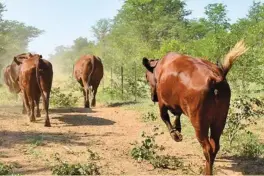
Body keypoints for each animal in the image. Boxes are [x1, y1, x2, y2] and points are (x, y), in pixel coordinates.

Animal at [142, 40, 248, 175]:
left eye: (146, 77)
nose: (152, 97)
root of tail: (216, 78)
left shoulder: (162, 103)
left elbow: (165, 117)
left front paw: (175, 135)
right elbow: (177, 115)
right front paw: (178, 129)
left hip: (199, 122)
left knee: (207, 148)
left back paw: (207, 172)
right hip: (219, 121)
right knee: (215, 146)